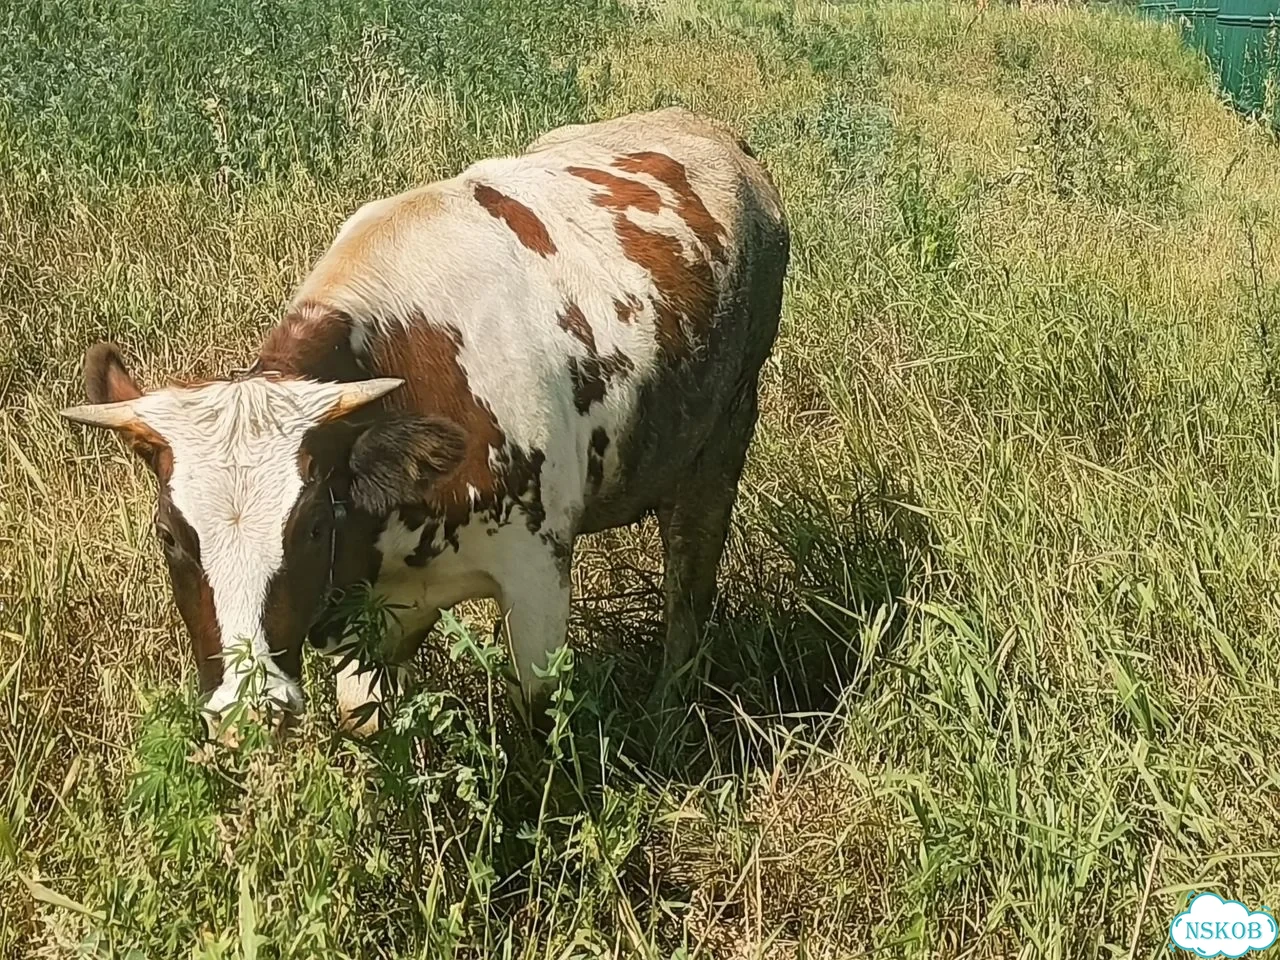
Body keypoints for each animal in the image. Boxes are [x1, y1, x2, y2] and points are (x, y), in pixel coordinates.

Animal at [60, 107, 790, 736]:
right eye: (170, 538)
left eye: (310, 526)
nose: (250, 711)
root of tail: (701, 127)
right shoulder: (378, 606)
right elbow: (364, 717)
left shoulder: (537, 575)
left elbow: (540, 720)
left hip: (720, 446)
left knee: (688, 592)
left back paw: (670, 709)